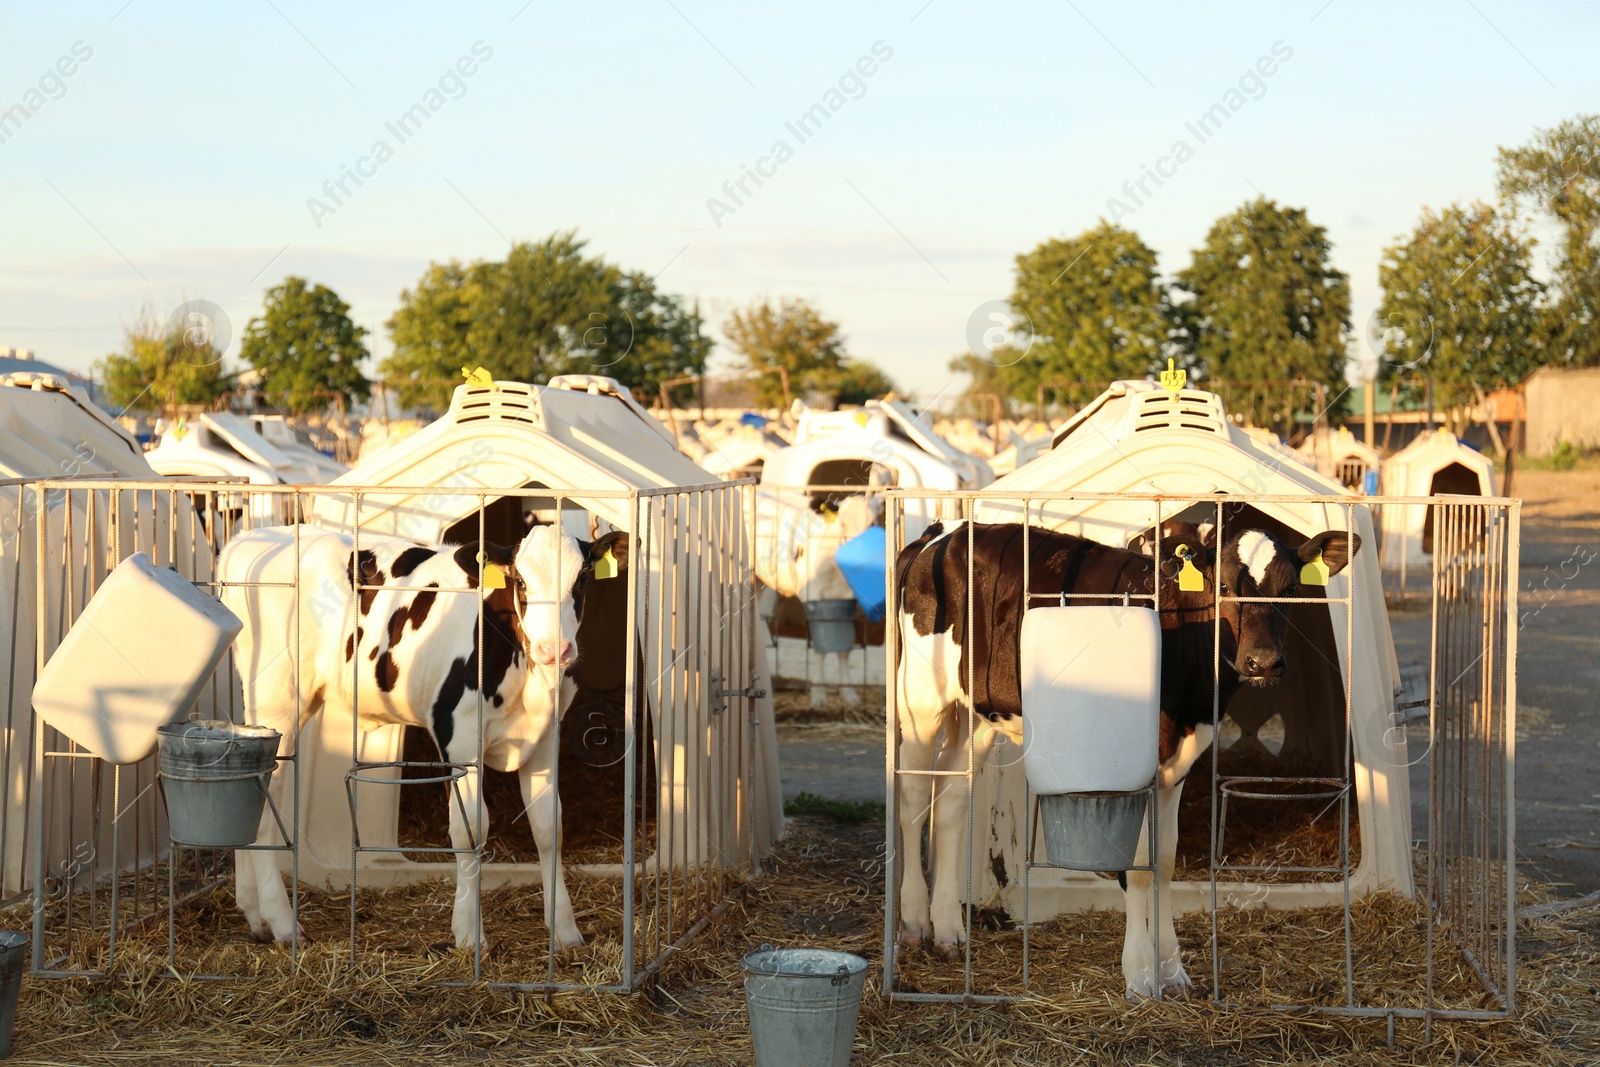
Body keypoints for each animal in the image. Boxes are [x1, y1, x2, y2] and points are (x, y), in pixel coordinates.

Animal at [222, 524, 620, 953]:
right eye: (520, 581)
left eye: (582, 579)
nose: (553, 649)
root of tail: (253, 536)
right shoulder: (458, 738)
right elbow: (470, 830)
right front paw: (469, 934)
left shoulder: (545, 739)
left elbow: (549, 828)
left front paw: (564, 930)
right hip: (277, 702)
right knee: (266, 799)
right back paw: (283, 922)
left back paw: (255, 915)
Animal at [896, 521, 1356, 998]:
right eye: (1224, 586)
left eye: (1291, 589)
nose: (1262, 661)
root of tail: (944, 531)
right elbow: (1137, 867)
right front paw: (1140, 977)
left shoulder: (1177, 766)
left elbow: (1165, 861)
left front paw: (1173, 972)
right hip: (919, 694)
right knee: (913, 794)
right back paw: (914, 923)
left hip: (978, 712)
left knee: (951, 795)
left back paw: (948, 929)